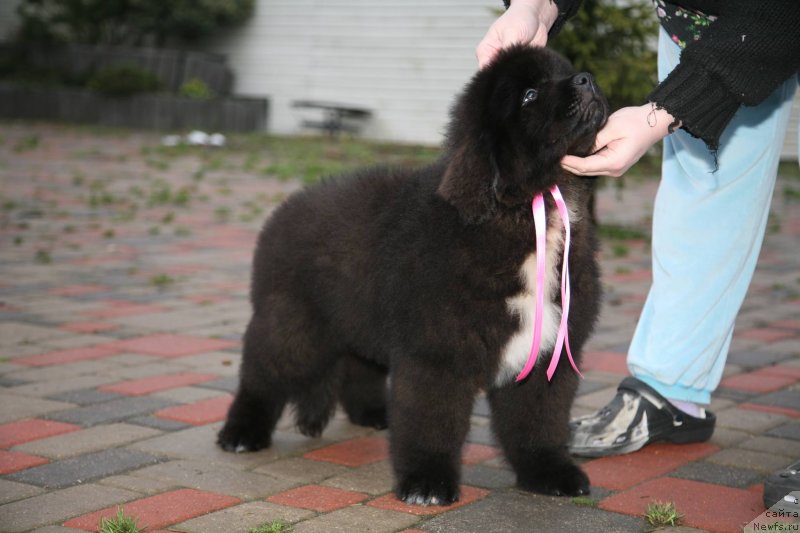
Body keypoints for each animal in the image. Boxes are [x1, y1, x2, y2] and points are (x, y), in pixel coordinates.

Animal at [219, 44, 608, 502]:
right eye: (530, 95)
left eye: (566, 71)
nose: (586, 78)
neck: (524, 208)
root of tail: (283, 210)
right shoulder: (436, 353)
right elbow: (432, 421)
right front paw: (427, 481)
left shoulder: (549, 351)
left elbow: (539, 421)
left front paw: (549, 472)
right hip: (293, 324)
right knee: (263, 374)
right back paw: (241, 432)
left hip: (359, 316)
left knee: (360, 364)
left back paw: (372, 413)